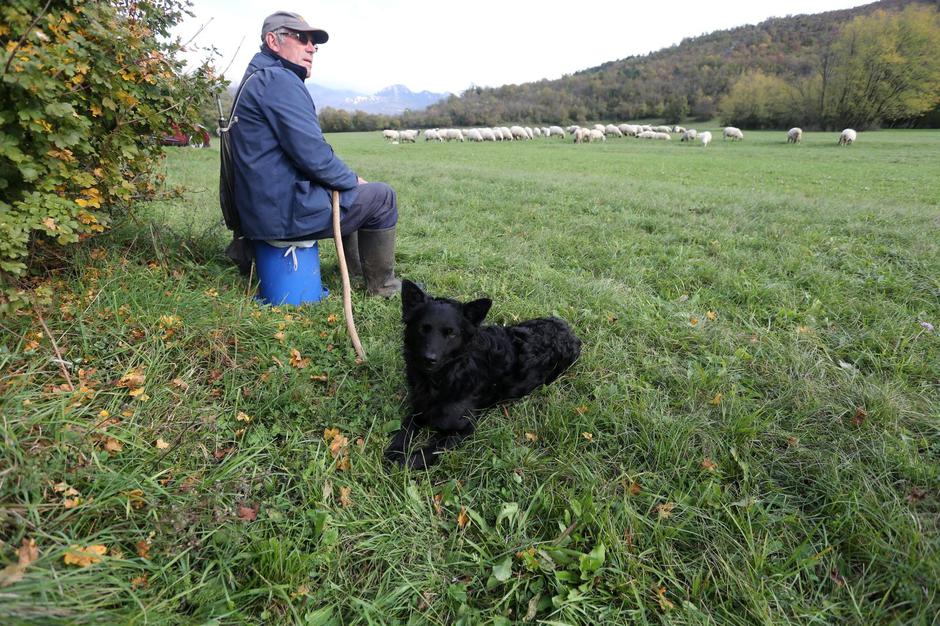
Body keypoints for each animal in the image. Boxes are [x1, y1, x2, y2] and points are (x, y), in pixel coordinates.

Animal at [384, 280, 580, 468]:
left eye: (451, 334)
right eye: (423, 329)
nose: (428, 359)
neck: (444, 377)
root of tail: (569, 330)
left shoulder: (464, 429)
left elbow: (429, 451)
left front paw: (402, 463)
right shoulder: (419, 408)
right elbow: (406, 428)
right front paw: (395, 449)